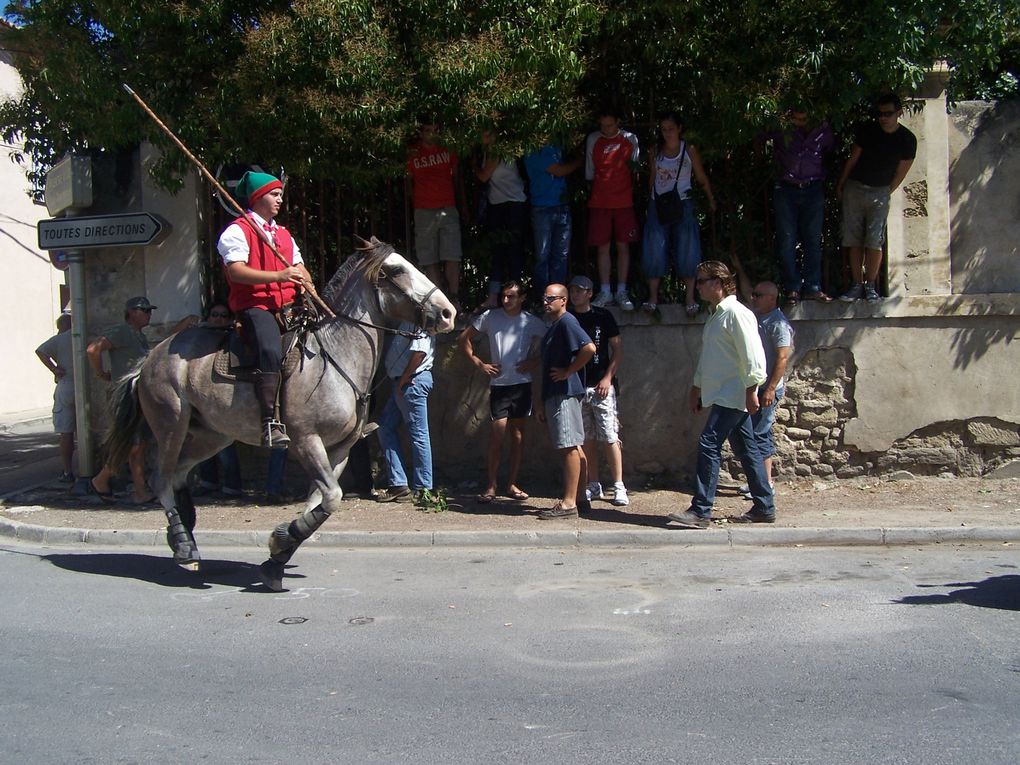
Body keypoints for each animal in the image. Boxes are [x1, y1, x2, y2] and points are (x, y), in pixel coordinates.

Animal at [105, 239, 452, 591]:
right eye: (394, 270)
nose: (448, 312)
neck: (334, 356)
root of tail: (150, 358)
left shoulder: (339, 450)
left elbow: (321, 502)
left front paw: (278, 556)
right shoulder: (306, 441)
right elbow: (331, 497)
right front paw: (280, 544)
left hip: (211, 436)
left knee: (177, 475)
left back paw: (185, 538)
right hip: (171, 425)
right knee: (161, 478)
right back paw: (183, 544)